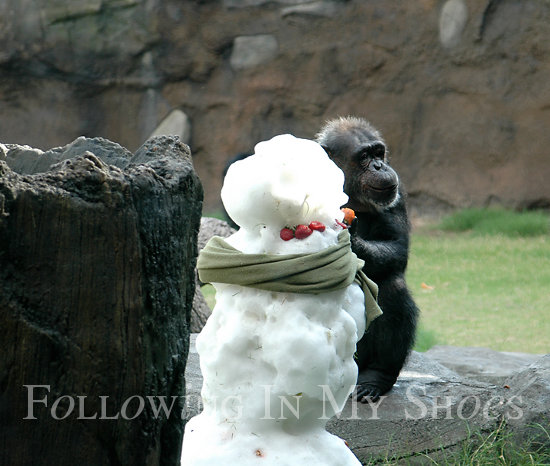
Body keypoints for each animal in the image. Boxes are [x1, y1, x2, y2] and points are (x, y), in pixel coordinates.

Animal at [316, 115, 420, 400]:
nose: (379, 166)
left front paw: (350, 240)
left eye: (378, 152)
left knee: (392, 287)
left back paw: (375, 378)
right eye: (364, 156)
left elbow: (397, 247)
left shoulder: (397, 192)